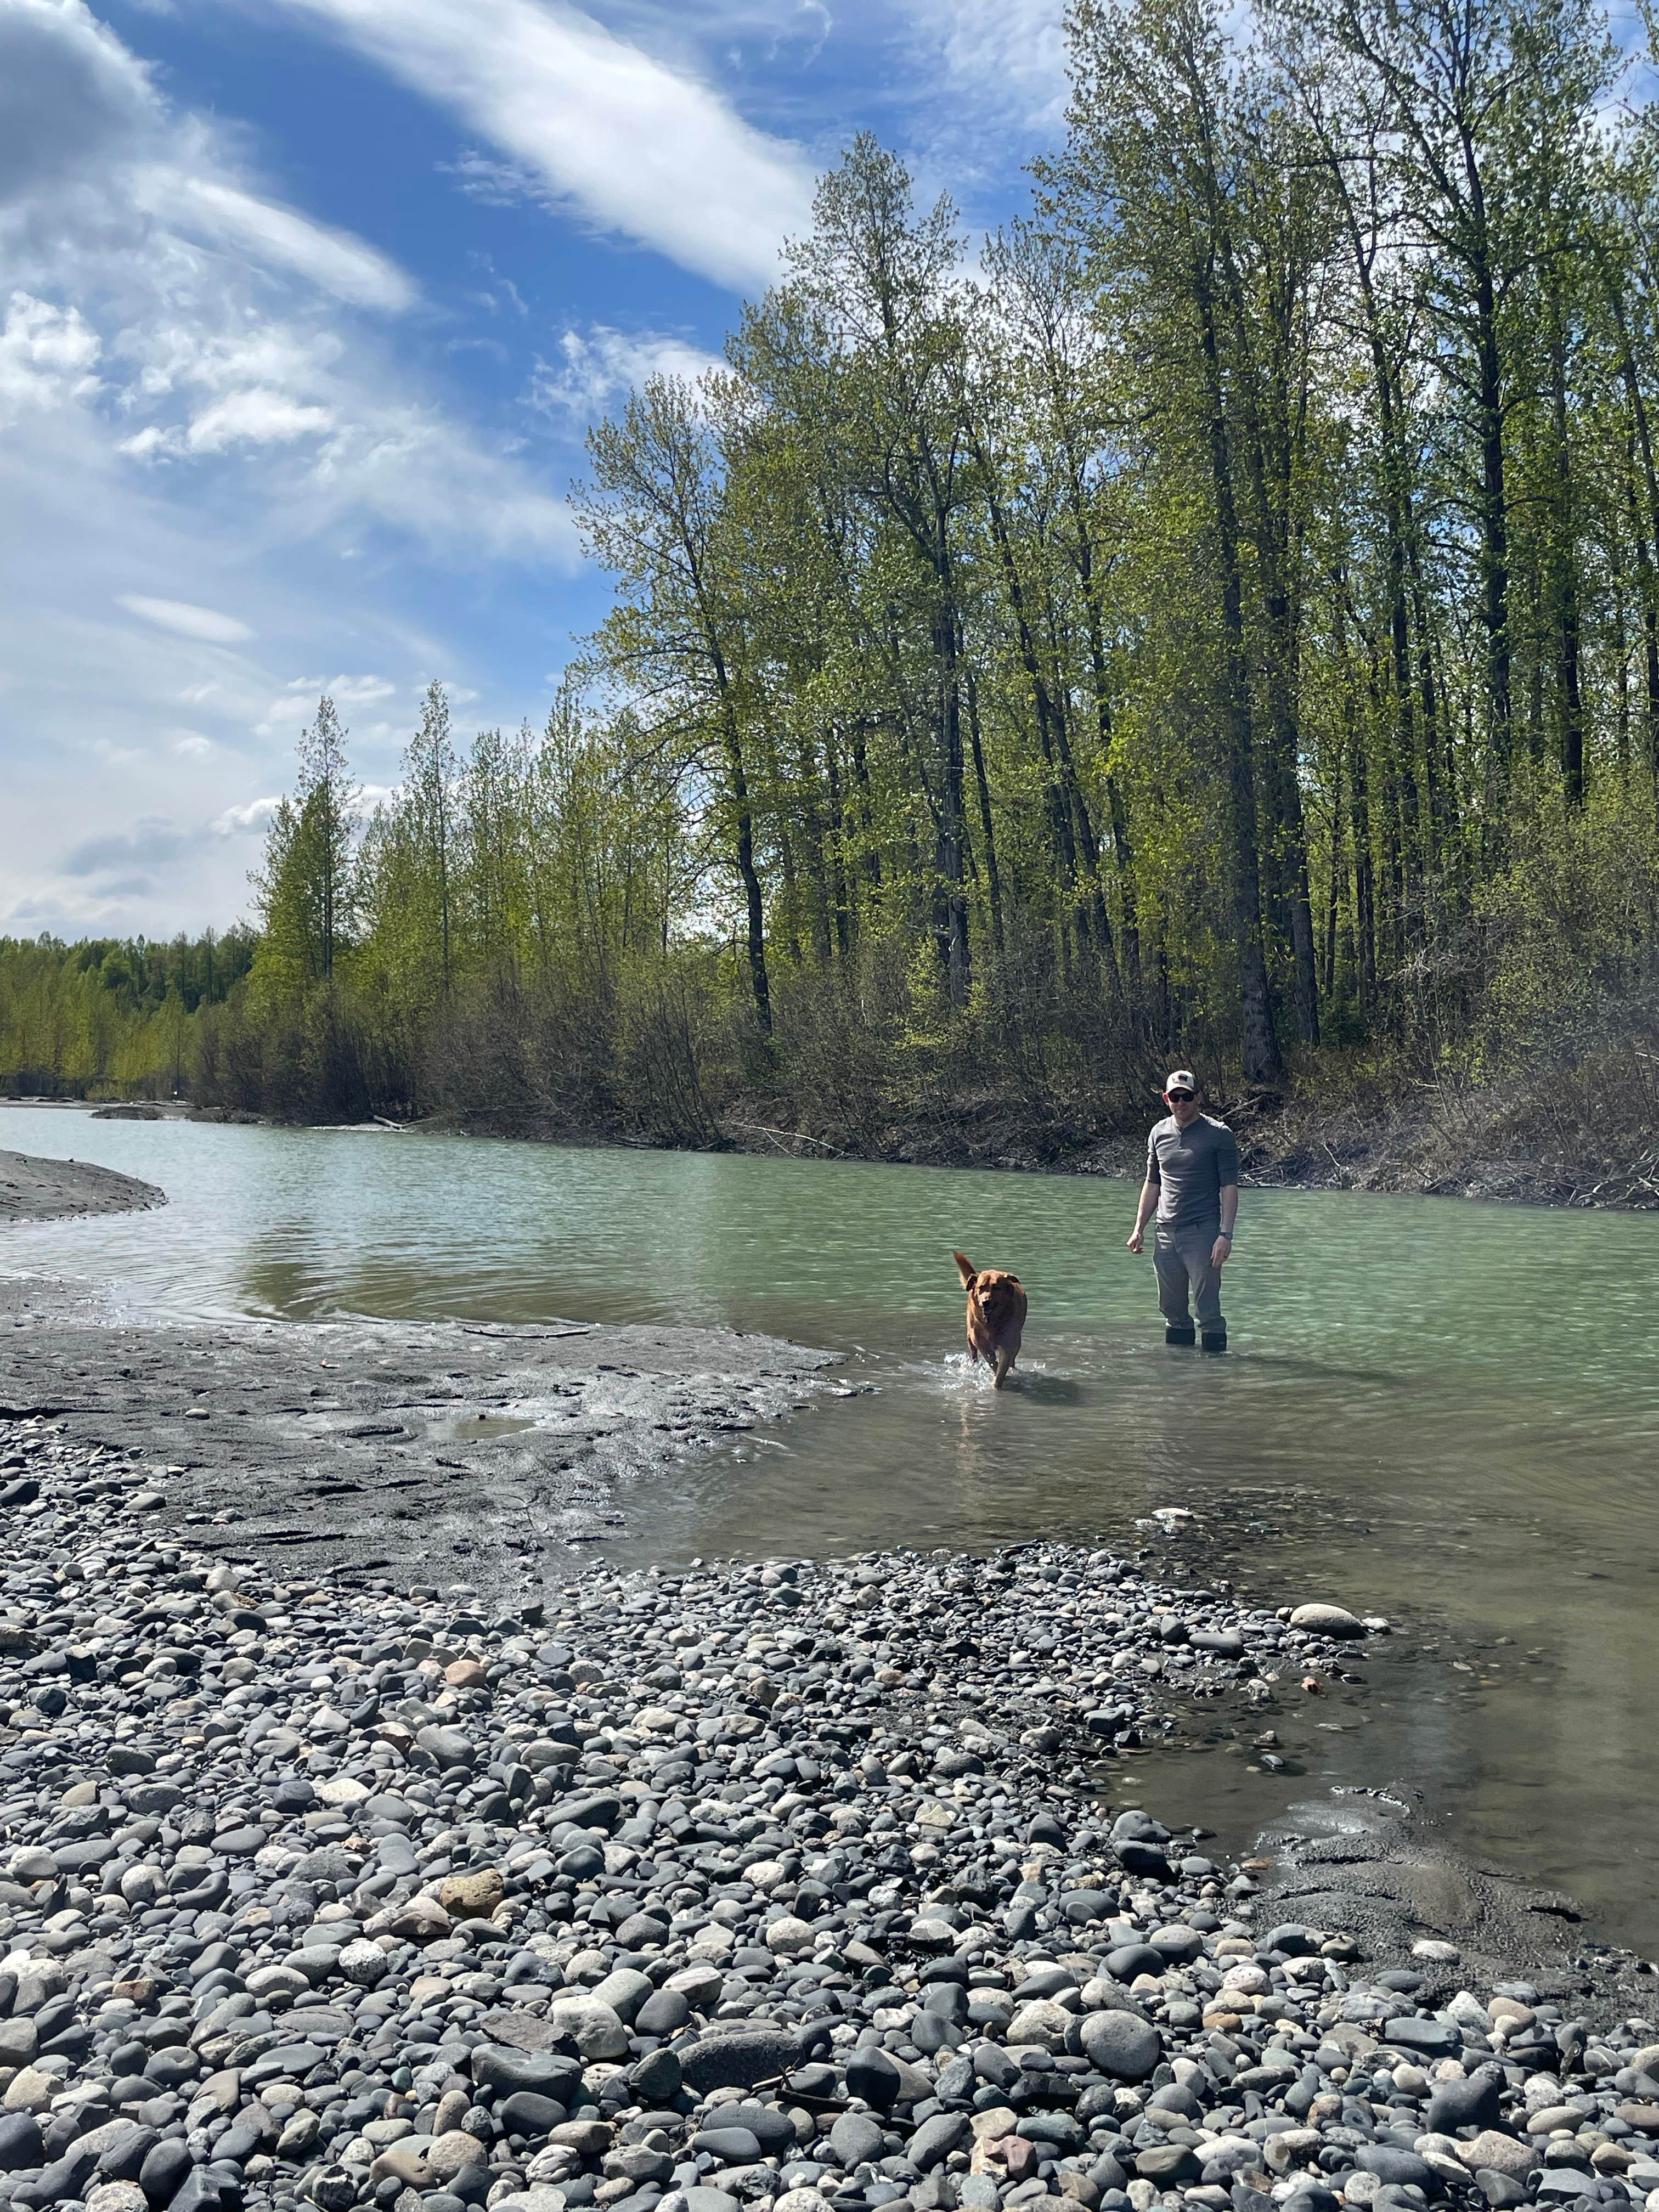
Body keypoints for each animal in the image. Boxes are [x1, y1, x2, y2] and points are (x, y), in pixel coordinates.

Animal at [955, 1256, 1035, 1389]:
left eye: (996, 1288)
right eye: (981, 1288)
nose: (986, 1302)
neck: (992, 1321)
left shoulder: (1008, 1344)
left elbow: (1002, 1368)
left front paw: (999, 1383)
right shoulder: (982, 1343)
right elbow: (992, 1362)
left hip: (1017, 1342)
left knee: (1013, 1359)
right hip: (970, 1337)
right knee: (973, 1352)